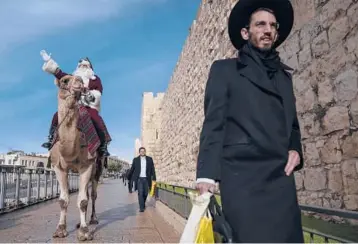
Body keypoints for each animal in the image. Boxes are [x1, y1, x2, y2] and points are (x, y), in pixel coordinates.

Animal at [50, 75, 103, 241]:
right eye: (64, 80)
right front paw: (60, 229)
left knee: (92, 194)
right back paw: (80, 223)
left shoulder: (87, 165)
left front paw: (85, 232)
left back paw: (93, 219)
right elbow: (63, 200)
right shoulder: (58, 166)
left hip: (97, 168)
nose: (79, 82)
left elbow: (84, 200)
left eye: (79, 80)